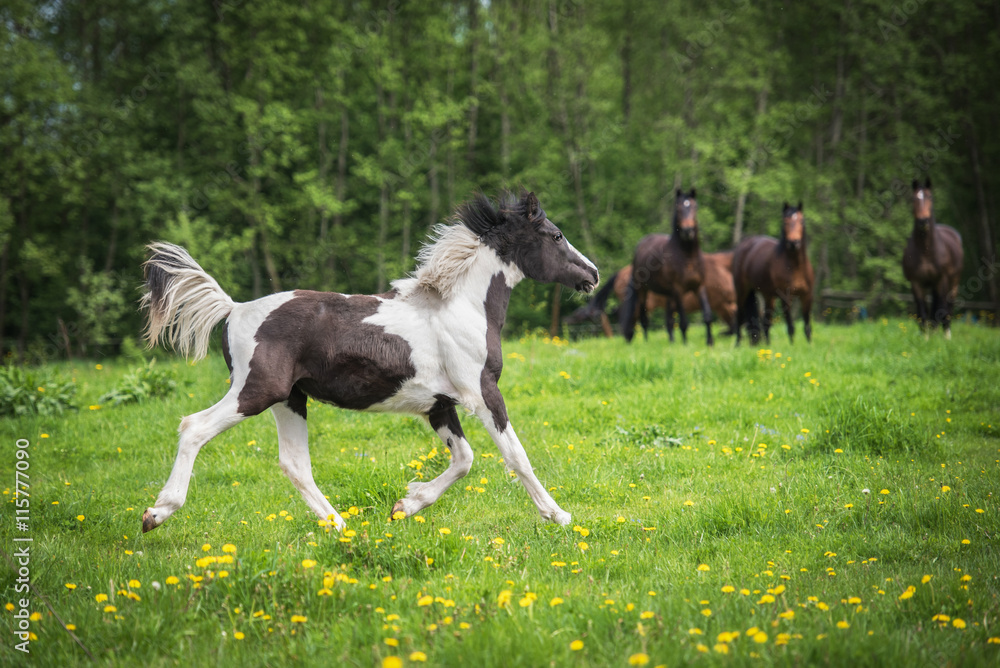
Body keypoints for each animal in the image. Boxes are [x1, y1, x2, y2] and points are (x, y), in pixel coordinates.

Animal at [138, 189, 596, 532]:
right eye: (556, 235)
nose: (591, 274)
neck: (459, 307)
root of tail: (233, 309)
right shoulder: (482, 392)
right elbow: (516, 456)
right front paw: (559, 515)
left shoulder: (439, 405)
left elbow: (464, 460)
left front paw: (407, 504)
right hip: (256, 391)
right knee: (193, 427)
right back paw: (157, 513)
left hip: (291, 400)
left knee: (294, 464)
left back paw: (340, 527)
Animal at [620, 187, 716, 344]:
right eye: (678, 208)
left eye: (695, 207)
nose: (687, 231)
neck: (688, 256)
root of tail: (642, 244)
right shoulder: (678, 290)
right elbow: (683, 321)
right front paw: (685, 344)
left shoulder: (699, 286)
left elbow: (707, 315)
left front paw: (710, 342)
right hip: (643, 290)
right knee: (644, 317)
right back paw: (646, 342)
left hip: (668, 294)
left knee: (669, 319)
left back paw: (671, 340)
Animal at [732, 200, 816, 344]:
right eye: (785, 221)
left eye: (801, 221)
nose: (794, 242)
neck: (796, 267)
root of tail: (744, 245)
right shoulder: (786, 298)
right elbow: (791, 327)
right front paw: (792, 346)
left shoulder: (807, 296)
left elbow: (807, 327)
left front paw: (810, 346)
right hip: (742, 291)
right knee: (740, 316)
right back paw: (738, 344)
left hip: (768, 296)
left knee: (766, 323)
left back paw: (767, 345)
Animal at [904, 179, 964, 340]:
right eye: (913, 199)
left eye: (930, 197)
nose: (923, 221)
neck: (926, 251)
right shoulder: (916, 282)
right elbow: (922, 311)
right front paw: (925, 338)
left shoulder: (942, 279)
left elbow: (942, 308)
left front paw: (945, 338)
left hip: (953, 282)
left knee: (947, 306)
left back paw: (945, 332)